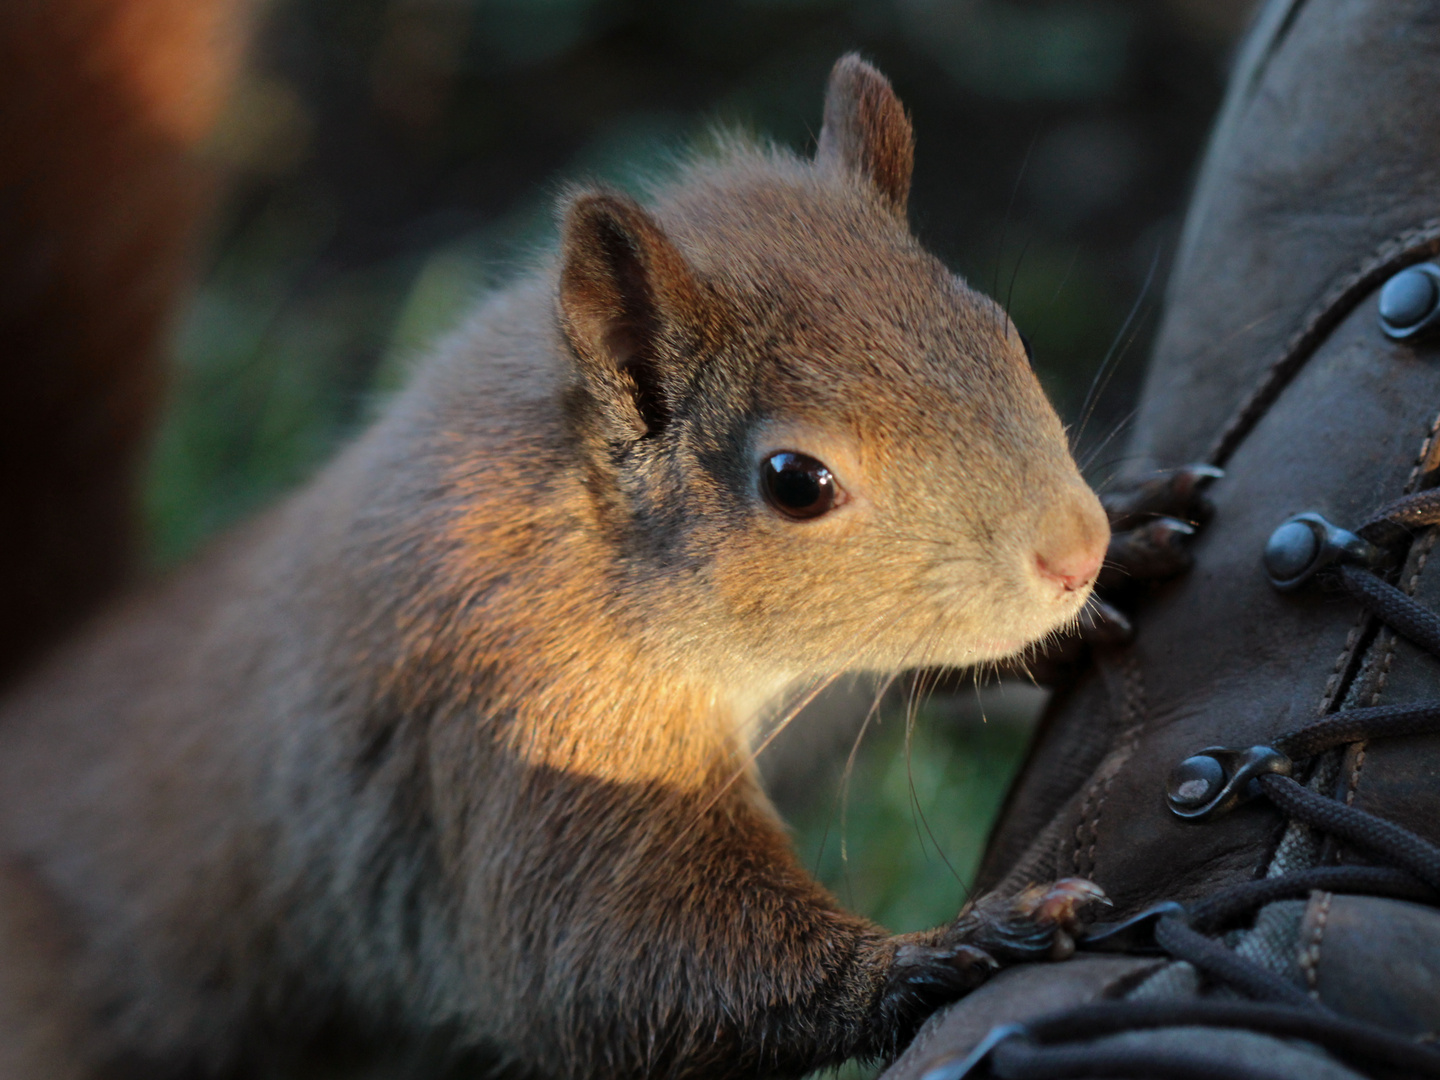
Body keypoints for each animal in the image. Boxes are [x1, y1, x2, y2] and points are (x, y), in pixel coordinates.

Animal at [0, 4, 1111, 1077]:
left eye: (1002, 328)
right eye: (797, 482)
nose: (1077, 551)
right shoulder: (527, 716)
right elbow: (607, 963)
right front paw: (948, 950)